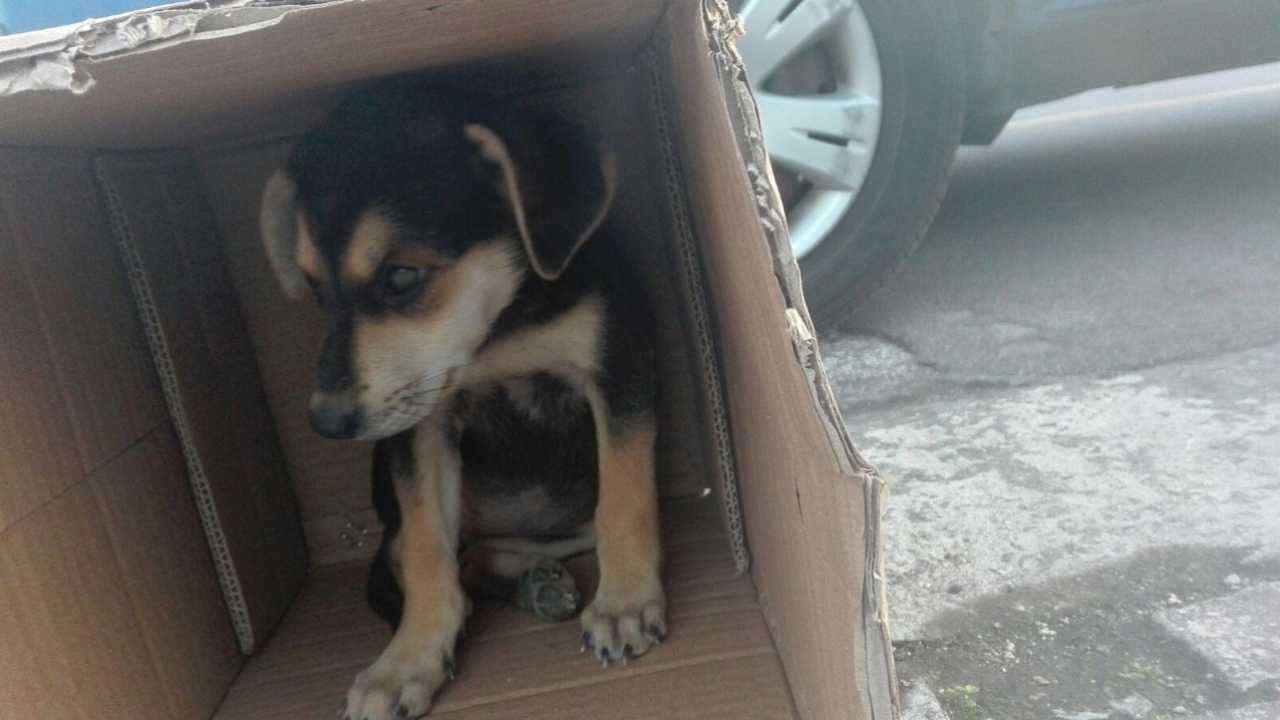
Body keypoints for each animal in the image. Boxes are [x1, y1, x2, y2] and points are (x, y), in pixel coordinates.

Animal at [256, 75, 665, 712]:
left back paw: (538, 578)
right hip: (395, 527)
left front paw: (624, 602)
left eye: (401, 277)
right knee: (443, 559)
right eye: (316, 290)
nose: (326, 423)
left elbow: (623, 499)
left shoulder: (618, 368)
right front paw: (407, 661)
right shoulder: (417, 425)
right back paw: (528, 583)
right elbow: (429, 553)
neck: (499, 333)